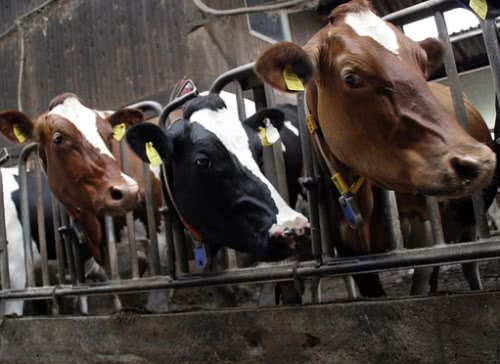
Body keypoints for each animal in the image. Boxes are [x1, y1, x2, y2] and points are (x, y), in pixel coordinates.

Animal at [258, 0, 496, 296]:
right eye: (350, 77)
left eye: (421, 63)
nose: (476, 159)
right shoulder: (348, 249)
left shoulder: (427, 233)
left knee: (468, 265)